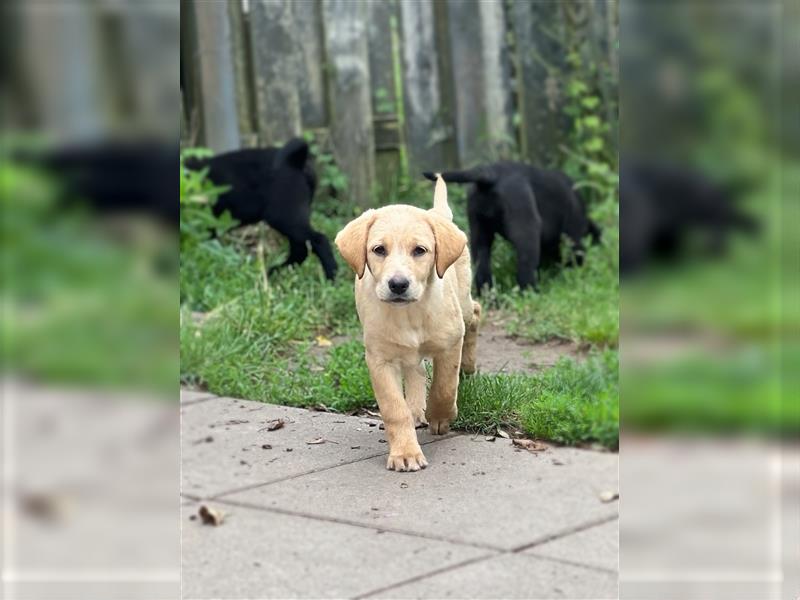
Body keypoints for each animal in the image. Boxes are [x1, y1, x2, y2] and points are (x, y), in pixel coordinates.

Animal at [188, 139, 338, 282]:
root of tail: (295, 160)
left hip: (284, 217)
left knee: (318, 240)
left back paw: (331, 278)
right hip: (291, 218)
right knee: (300, 249)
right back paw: (275, 272)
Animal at [334, 176, 478, 472]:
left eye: (420, 251)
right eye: (379, 250)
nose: (398, 284)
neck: (409, 314)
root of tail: (437, 213)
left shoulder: (450, 343)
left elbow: (445, 387)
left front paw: (441, 416)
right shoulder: (379, 359)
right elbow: (393, 408)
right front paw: (405, 452)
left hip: (465, 306)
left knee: (476, 315)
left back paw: (468, 366)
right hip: (407, 352)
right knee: (416, 371)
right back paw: (415, 408)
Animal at [424, 164, 600, 290]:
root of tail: (491, 175)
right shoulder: (573, 234)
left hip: (479, 230)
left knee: (482, 265)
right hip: (527, 231)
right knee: (525, 267)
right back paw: (531, 291)